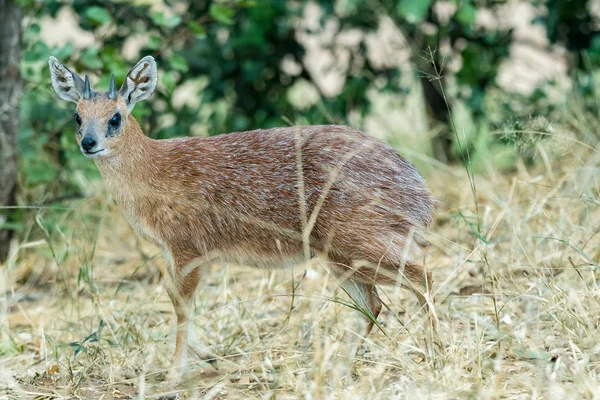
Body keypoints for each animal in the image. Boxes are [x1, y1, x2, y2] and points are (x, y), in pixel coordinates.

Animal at [49, 54, 436, 376]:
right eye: (77, 117)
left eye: (115, 118)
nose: (88, 143)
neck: (153, 173)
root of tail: (418, 187)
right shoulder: (175, 252)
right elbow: (172, 295)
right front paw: (210, 358)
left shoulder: (189, 248)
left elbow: (181, 303)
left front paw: (175, 371)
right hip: (339, 256)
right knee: (374, 303)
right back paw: (340, 368)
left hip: (361, 240)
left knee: (422, 277)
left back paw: (435, 349)